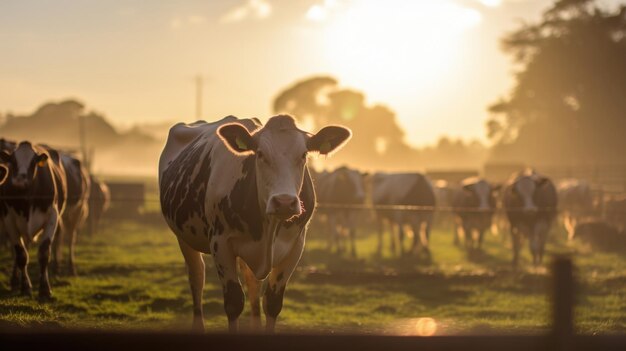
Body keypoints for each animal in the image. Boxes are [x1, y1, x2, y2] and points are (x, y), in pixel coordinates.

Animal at [0, 142, 67, 302]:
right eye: (13, 161)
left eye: (33, 163)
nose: (19, 180)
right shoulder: (9, 219)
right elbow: (21, 255)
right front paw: (25, 288)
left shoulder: (52, 216)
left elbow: (44, 253)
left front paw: (45, 290)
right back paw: (15, 281)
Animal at [158, 115, 348, 332]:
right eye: (260, 154)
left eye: (303, 155)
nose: (284, 202)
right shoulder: (220, 243)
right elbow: (233, 302)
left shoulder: (295, 246)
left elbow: (272, 302)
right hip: (184, 237)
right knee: (197, 277)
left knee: (252, 285)